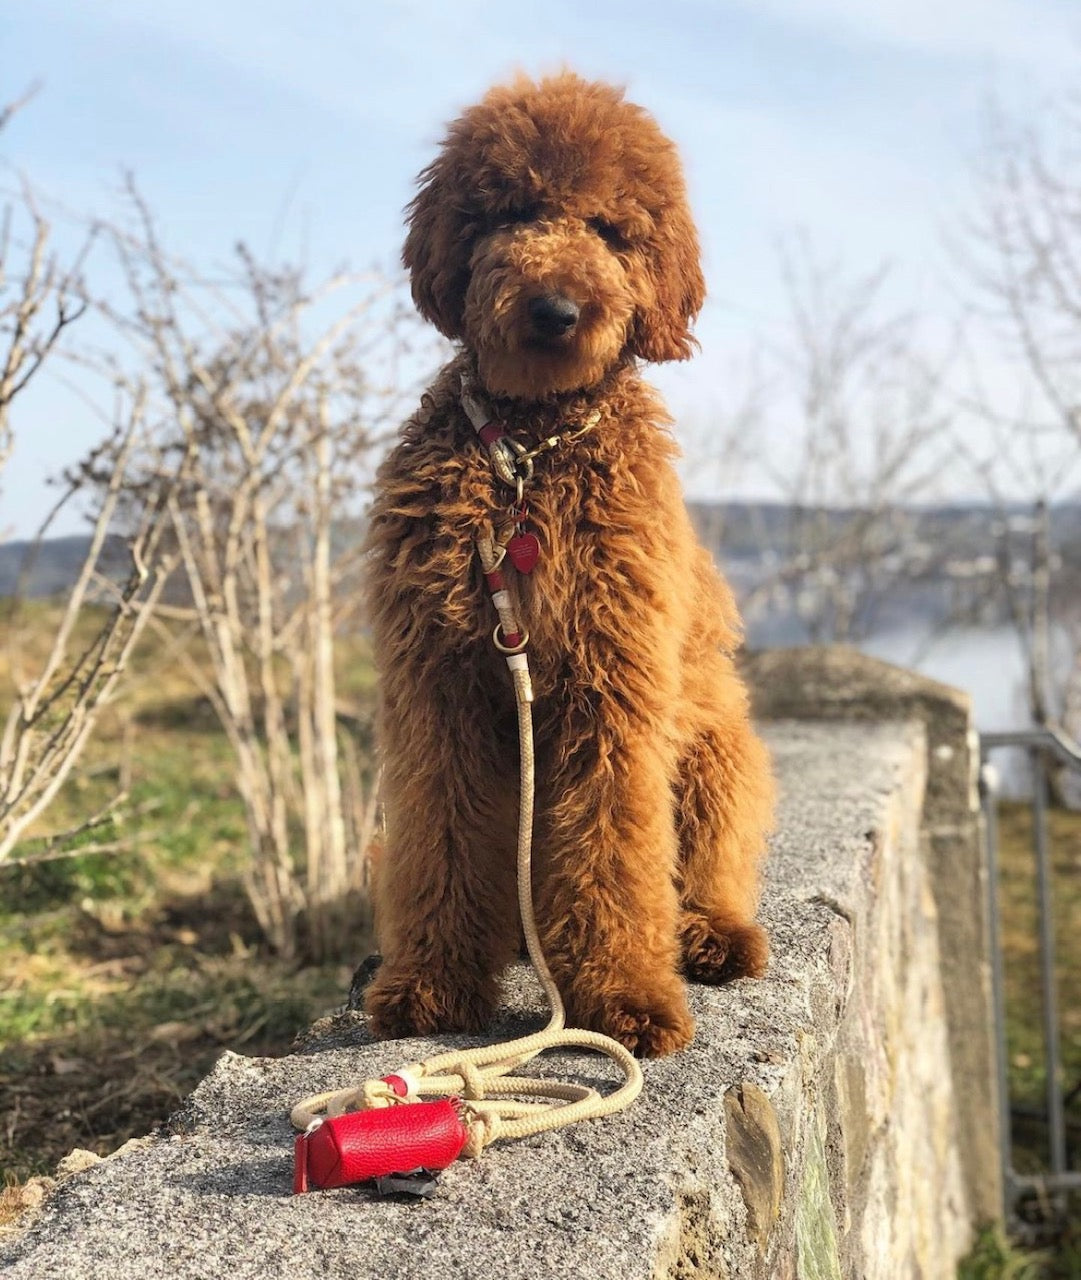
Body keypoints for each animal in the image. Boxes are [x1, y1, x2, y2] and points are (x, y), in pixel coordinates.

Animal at [365, 70, 772, 1054]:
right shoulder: (438, 686)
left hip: (716, 753)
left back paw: (710, 936)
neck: (529, 450)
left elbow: (610, 848)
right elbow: (439, 833)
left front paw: (623, 994)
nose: (555, 312)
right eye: (511, 212)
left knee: (705, 867)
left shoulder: (610, 686)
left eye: (610, 230)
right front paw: (431, 983)